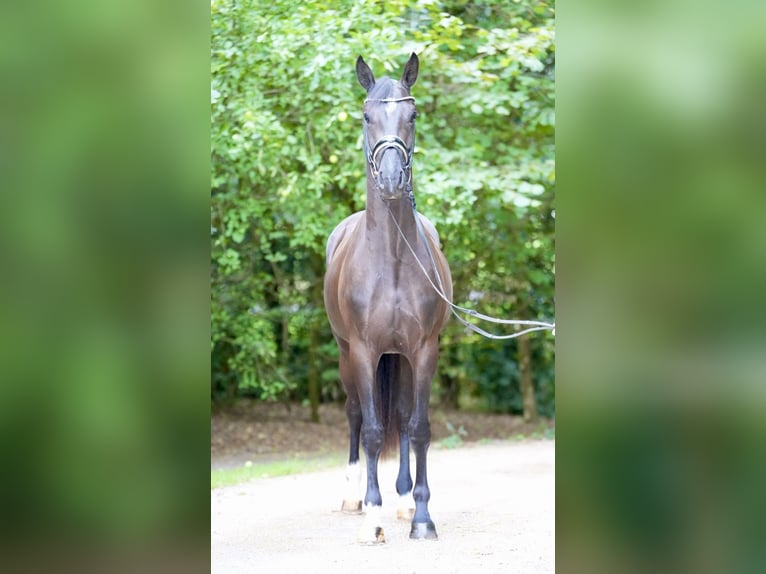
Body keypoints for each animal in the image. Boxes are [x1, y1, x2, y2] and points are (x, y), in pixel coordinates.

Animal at [323, 53, 453, 543]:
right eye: (366, 116)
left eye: (412, 116)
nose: (394, 178)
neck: (391, 260)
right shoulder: (363, 350)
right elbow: (375, 432)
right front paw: (373, 517)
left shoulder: (424, 350)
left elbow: (417, 428)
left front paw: (421, 516)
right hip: (347, 354)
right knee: (356, 415)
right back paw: (353, 496)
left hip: (399, 357)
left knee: (399, 414)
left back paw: (401, 500)